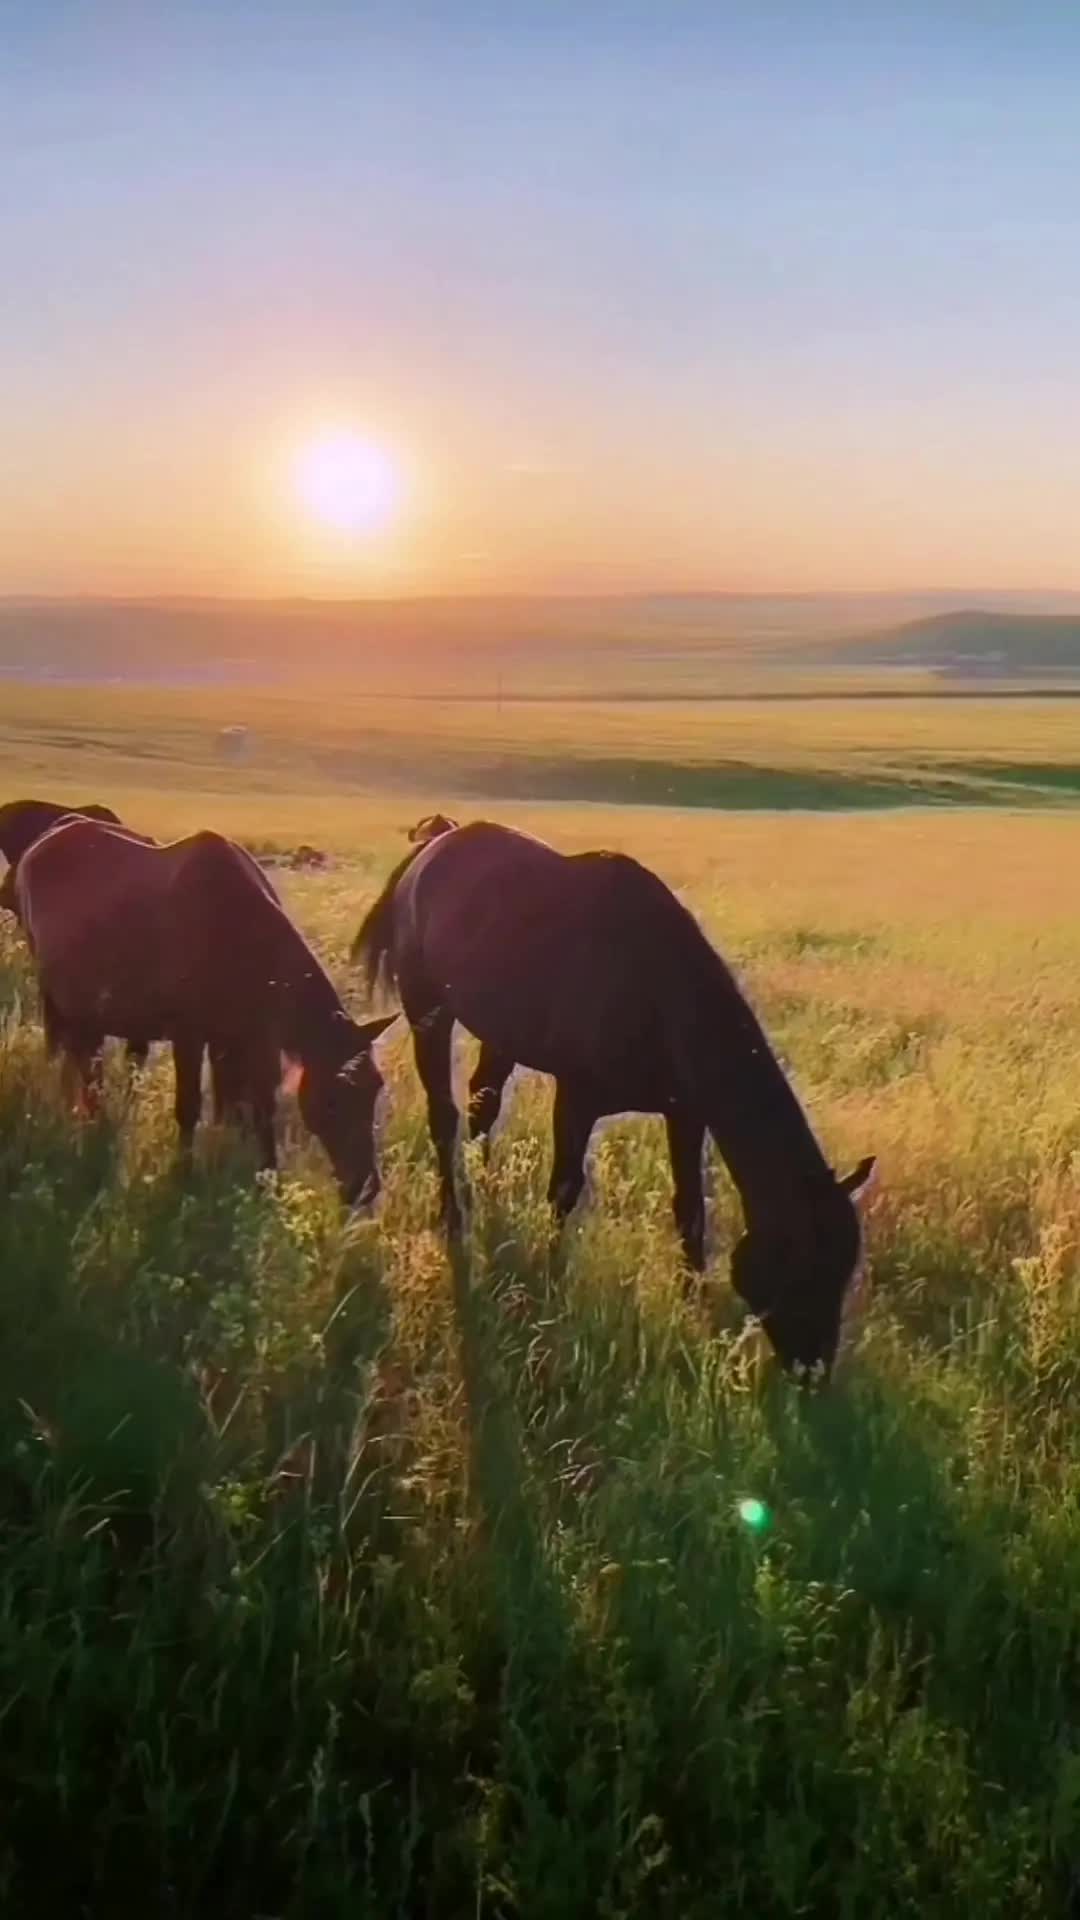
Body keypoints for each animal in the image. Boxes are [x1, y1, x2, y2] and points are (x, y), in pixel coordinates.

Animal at [15, 821, 395, 1198]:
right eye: (333, 1099)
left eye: (376, 1086)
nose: (366, 1188)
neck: (241, 939)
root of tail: (37, 847)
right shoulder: (190, 1036)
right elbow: (191, 1107)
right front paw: (185, 1173)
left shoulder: (238, 1037)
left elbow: (249, 1106)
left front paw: (263, 1176)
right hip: (54, 998)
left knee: (83, 1062)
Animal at [353, 817, 876, 1374]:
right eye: (802, 1265)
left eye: (844, 1268)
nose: (813, 1370)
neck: (656, 992)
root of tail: (433, 844)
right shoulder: (578, 1098)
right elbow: (563, 1191)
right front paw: (551, 1279)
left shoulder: (686, 1114)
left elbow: (690, 1209)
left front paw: (694, 1302)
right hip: (428, 1012)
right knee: (445, 1114)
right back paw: (454, 1214)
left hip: (500, 1029)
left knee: (483, 1103)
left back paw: (485, 1187)